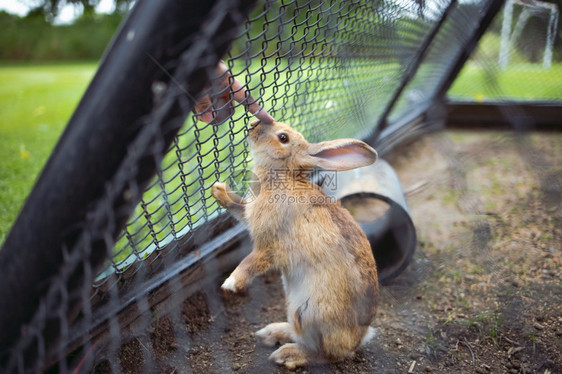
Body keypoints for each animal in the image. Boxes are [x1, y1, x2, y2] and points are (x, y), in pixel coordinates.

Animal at [210, 120, 376, 368]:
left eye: (283, 138)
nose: (253, 124)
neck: (284, 176)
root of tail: (359, 339)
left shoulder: (269, 247)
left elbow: (250, 262)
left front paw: (231, 284)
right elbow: (239, 208)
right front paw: (218, 190)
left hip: (307, 313)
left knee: (327, 354)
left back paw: (287, 354)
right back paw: (272, 334)